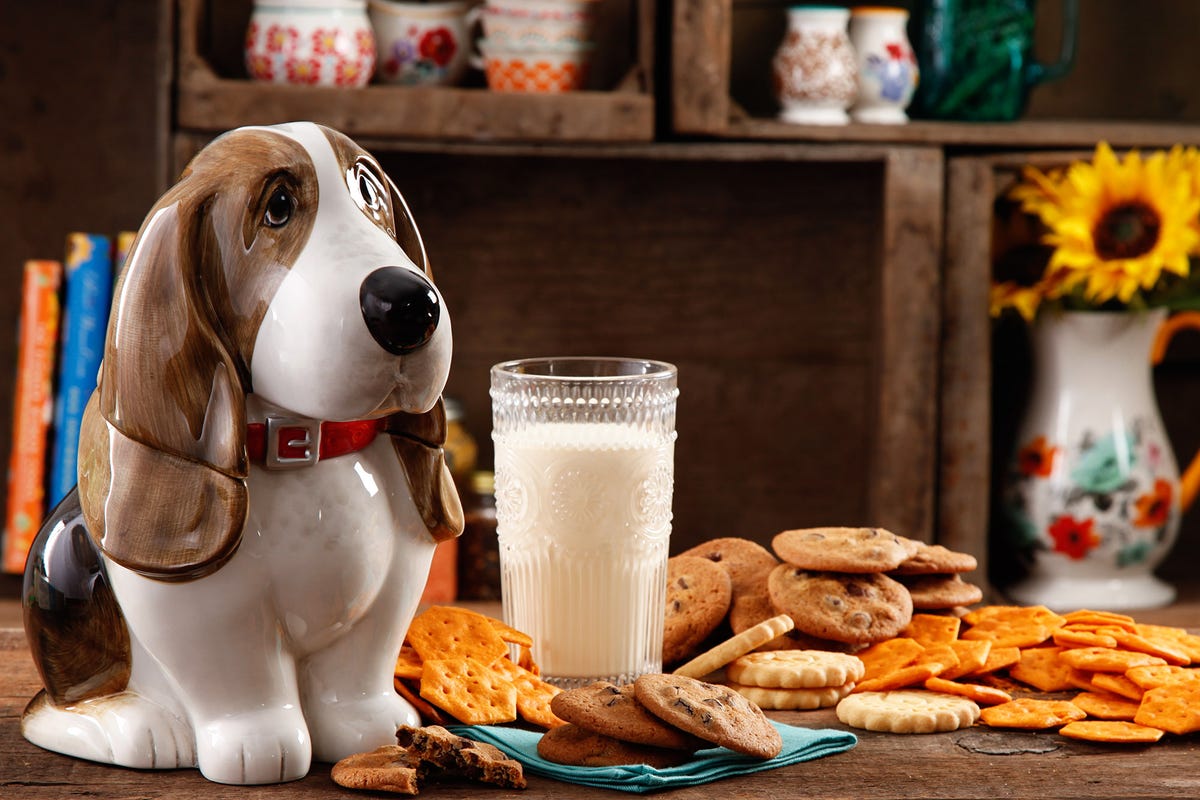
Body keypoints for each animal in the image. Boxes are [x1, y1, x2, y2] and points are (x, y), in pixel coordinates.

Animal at [24, 122, 463, 786]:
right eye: (277, 207)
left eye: (369, 190)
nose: (408, 303)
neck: (305, 444)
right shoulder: (208, 610)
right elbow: (237, 676)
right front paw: (259, 746)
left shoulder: (397, 584)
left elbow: (362, 664)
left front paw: (373, 729)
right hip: (59, 559)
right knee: (65, 703)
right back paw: (137, 724)